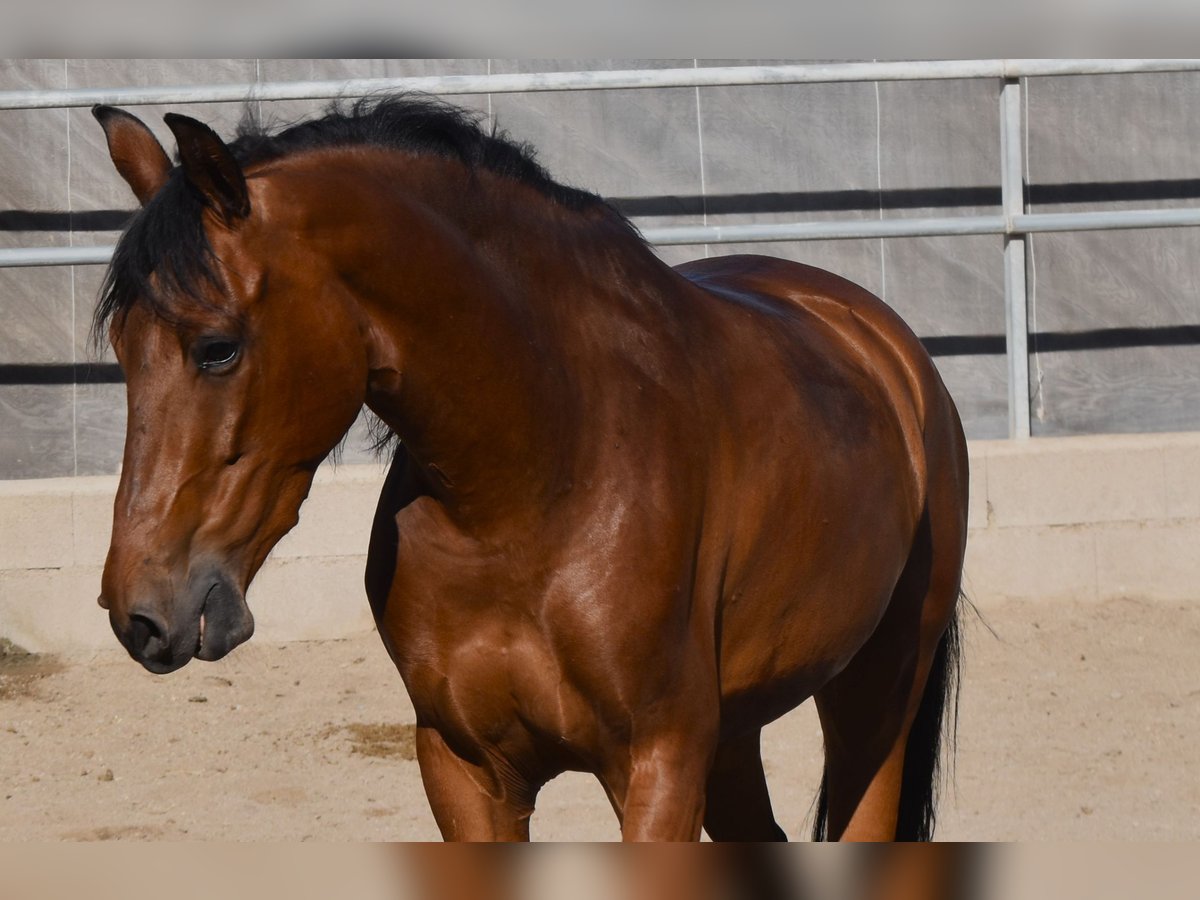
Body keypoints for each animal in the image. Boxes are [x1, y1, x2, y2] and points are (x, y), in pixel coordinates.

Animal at [96, 95, 974, 844]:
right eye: (122, 349)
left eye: (217, 348)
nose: (139, 612)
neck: (541, 483)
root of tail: (882, 343)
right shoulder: (464, 770)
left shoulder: (657, 769)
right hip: (739, 728)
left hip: (877, 694)